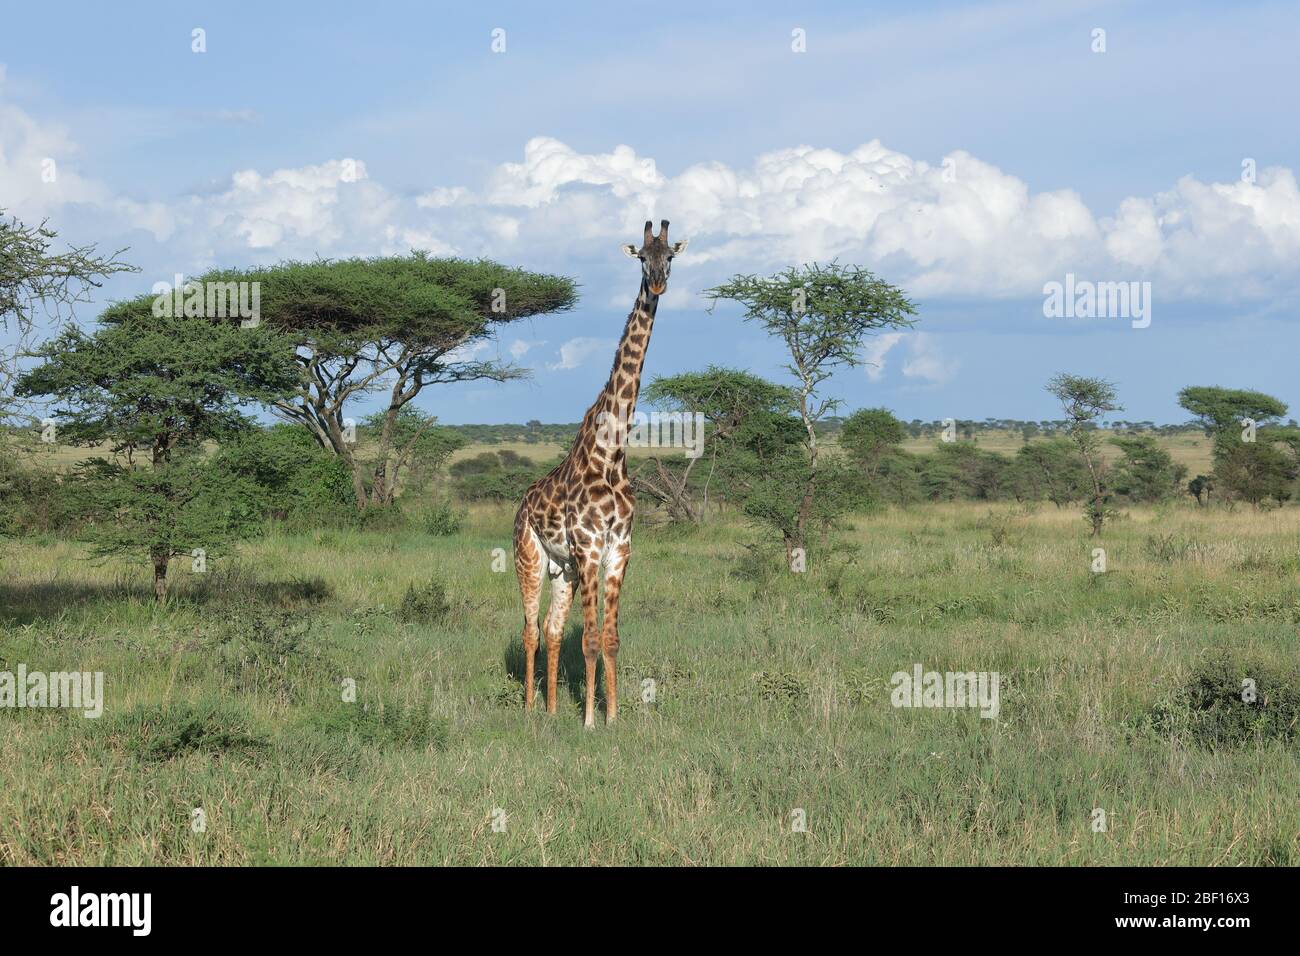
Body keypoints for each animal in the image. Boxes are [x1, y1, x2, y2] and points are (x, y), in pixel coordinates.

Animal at [512, 218, 686, 723]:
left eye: (669, 256)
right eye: (641, 258)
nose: (657, 285)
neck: (610, 453)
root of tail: (521, 503)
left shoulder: (618, 549)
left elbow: (610, 639)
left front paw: (612, 716)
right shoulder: (589, 547)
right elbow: (589, 641)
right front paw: (590, 720)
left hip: (562, 569)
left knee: (552, 629)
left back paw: (552, 710)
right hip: (529, 558)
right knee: (529, 629)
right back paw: (528, 708)